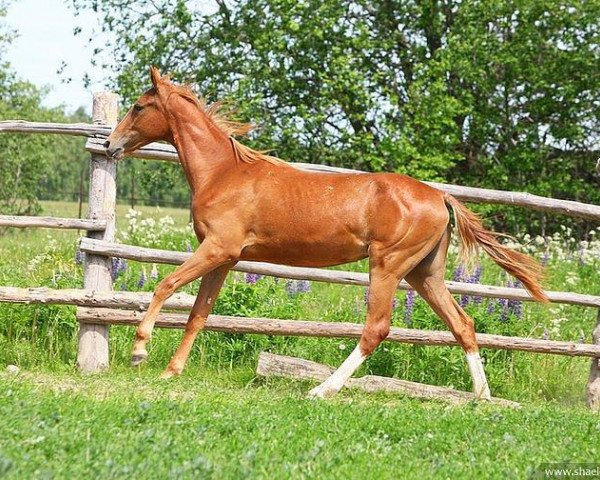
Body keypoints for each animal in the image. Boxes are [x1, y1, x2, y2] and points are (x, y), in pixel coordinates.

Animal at [104, 66, 548, 398]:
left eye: (138, 106)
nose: (110, 145)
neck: (223, 173)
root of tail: (441, 196)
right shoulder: (226, 259)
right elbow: (199, 313)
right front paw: (171, 371)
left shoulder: (217, 249)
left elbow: (164, 285)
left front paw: (140, 352)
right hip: (425, 273)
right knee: (463, 325)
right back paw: (482, 397)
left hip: (388, 265)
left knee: (377, 329)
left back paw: (322, 389)